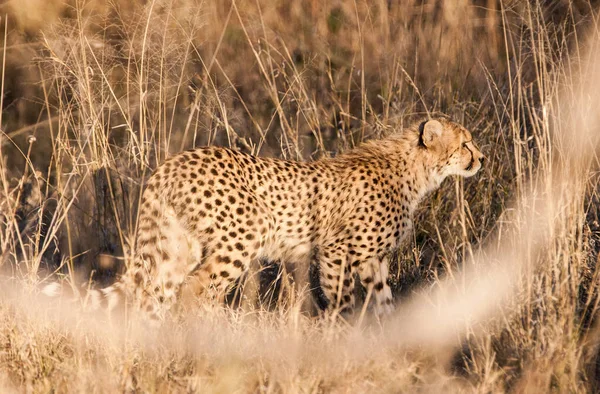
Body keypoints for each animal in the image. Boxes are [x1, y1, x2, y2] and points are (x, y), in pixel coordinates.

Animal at [45, 117, 482, 320]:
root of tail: (171, 163)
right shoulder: (336, 250)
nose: (481, 157)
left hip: (176, 248)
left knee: (155, 294)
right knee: (197, 290)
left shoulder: (374, 261)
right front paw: (339, 335)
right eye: (465, 143)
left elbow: (383, 302)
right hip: (243, 235)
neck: (417, 170)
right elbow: (343, 300)